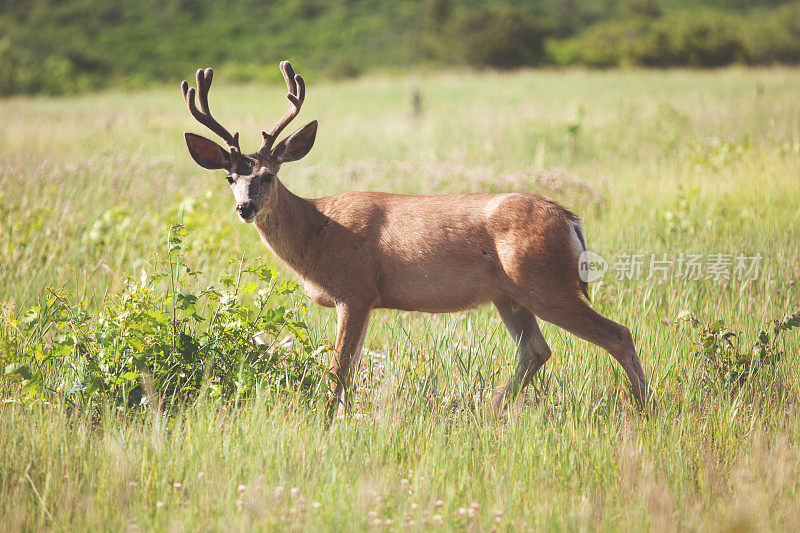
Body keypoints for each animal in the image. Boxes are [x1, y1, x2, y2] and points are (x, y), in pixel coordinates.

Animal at [181, 62, 656, 418]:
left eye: (268, 175)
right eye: (230, 177)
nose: (245, 207)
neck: (317, 232)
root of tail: (570, 219)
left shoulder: (356, 290)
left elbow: (339, 368)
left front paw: (327, 423)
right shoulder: (366, 299)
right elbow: (351, 366)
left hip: (546, 282)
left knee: (617, 334)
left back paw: (645, 409)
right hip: (510, 294)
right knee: (536, 350)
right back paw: (490, 409)